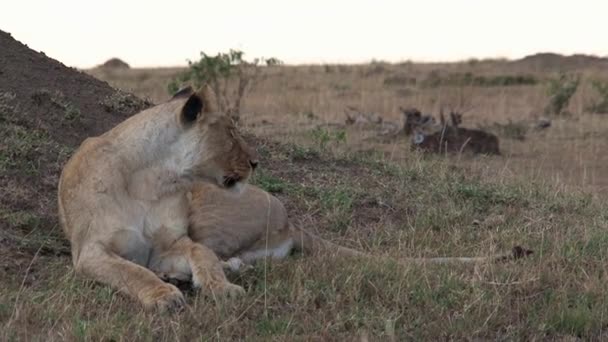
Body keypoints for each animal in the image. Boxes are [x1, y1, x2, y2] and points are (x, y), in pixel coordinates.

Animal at [55, 85, 258, 310]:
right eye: (231, 133)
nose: (255, 162)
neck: (151, 183)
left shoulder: (168, 245)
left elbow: (203, 252)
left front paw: (223, 287)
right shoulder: (90, 251)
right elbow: (133, 271)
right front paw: (164, 295)